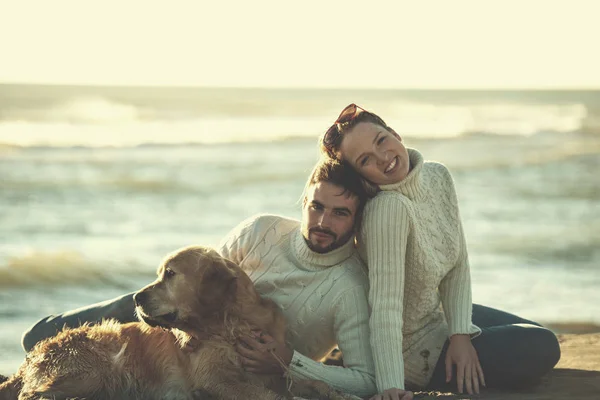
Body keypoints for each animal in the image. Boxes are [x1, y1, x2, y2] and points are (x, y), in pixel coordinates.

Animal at [0, 245, 358, 398]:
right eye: (160, 274)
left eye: (169, 274)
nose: (135, 298)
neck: (231, 324)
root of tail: (31, 357)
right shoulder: (215, 379)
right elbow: (271, 397)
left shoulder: (272, 368)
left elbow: (314, 384)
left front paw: (331, 392)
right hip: (95, 369)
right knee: (34, 396)